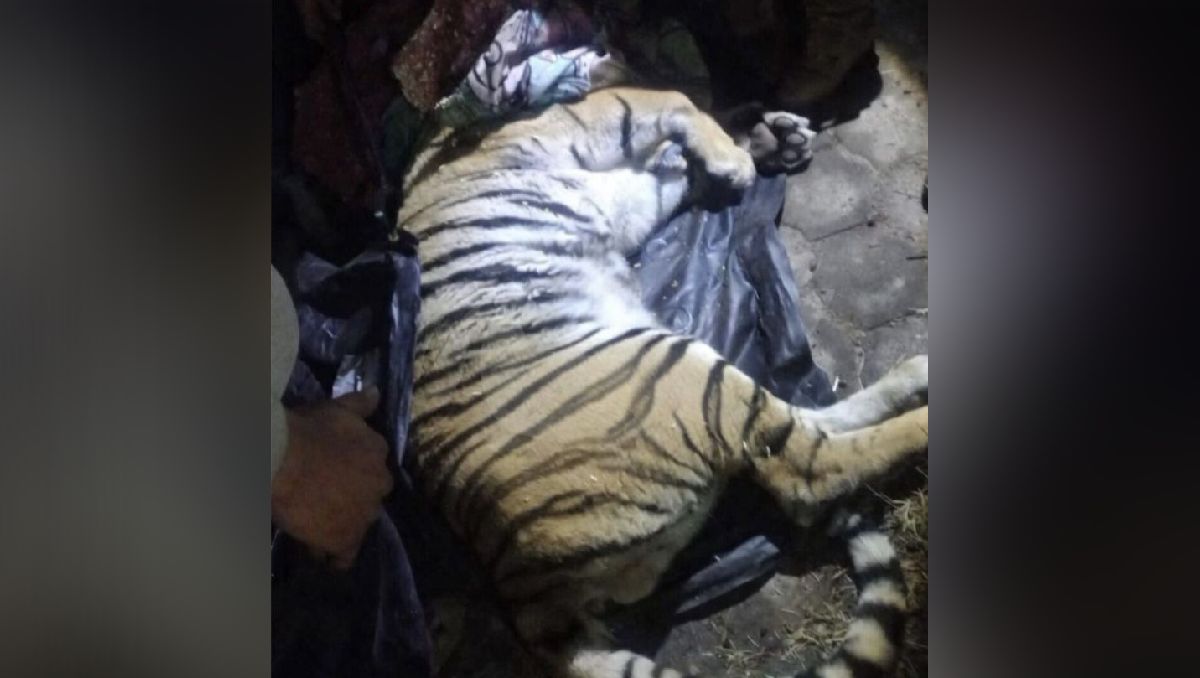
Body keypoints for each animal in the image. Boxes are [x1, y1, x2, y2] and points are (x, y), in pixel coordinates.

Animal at [396, 86, 929, 678]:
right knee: (809, 473)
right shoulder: (582, 123)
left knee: (805, 428)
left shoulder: (625, 191)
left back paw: (914, 378)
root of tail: (518, 586)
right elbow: (668, 99)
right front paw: (743, 154)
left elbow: (673, 159)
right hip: (678, 376)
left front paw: (765, 143)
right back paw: (925, 413)